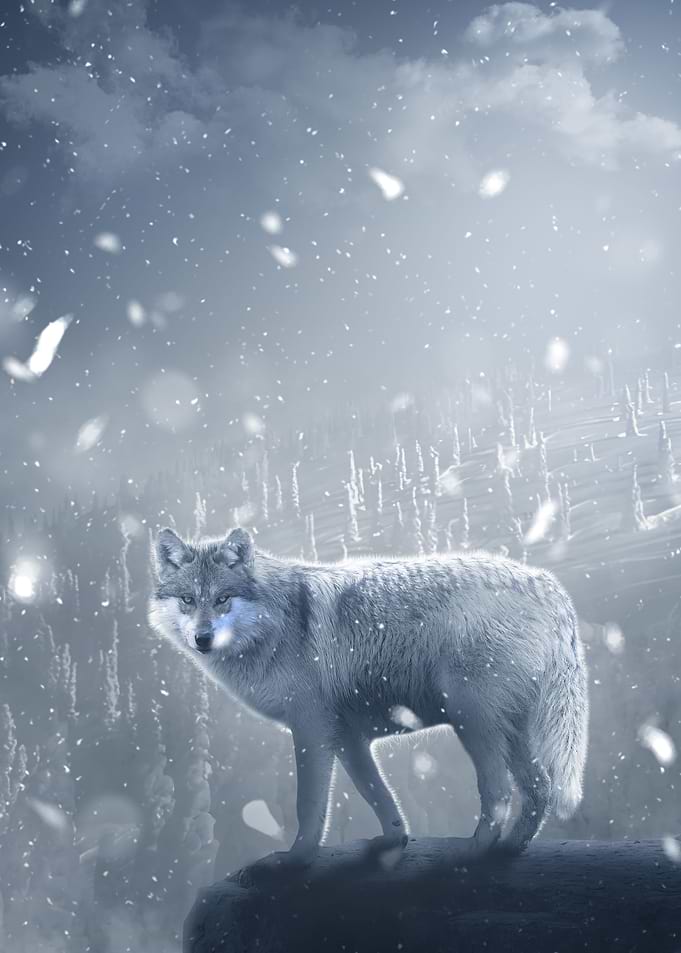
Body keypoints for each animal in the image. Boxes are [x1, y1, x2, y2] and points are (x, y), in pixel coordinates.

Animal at [148, 526, 588, 863]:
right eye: (188, 599)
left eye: (223, 599)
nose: (202, 638)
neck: (275, 624)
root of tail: (547, 584)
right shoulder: (346, 737)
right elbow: (376, 794)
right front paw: (394, 842)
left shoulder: (310, 731)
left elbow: (309, 805)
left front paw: (294, 860)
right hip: (507, 731)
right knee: (538, 787)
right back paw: (508, 851)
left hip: (472, 722)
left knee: (499, 792)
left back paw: (472, 854)